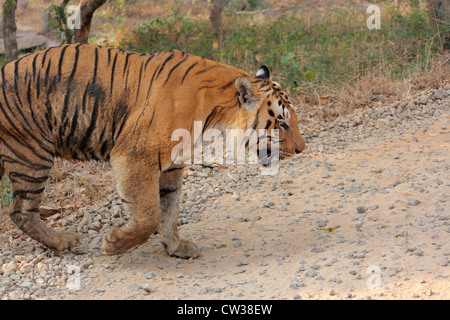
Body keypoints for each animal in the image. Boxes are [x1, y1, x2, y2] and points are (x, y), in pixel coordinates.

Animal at [0, 44, 304, 258]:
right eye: (282, 122)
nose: (302, 149)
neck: (218, 112)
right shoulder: (135, 155)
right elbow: (149, 214)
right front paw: (114, 244)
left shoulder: (172, 165)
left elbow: (170, 210)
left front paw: (176, 247)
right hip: (32, 154)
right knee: (21, 211)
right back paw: (63, 241)